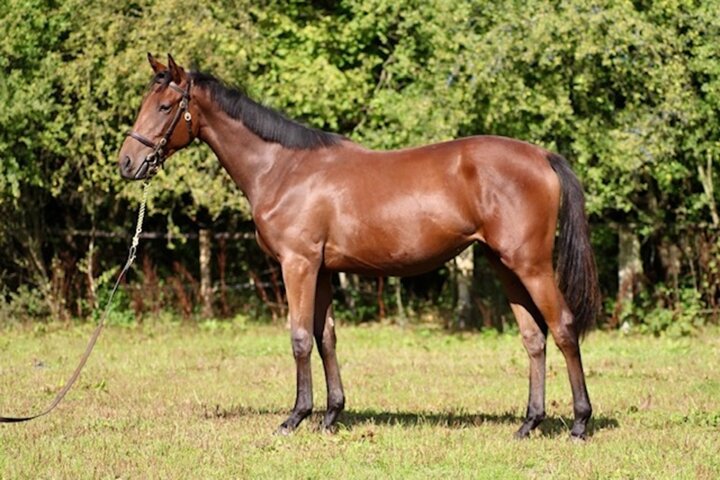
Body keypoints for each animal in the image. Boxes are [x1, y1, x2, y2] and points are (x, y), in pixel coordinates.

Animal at [118, 54, 601, 439]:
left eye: (165, 107)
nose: (127, 163)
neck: (283, 168)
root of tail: (541, 156)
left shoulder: (298, 265)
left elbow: (299, 338)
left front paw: (295, 417)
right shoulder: (323, 270)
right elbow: (326, 337)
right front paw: (331, 415)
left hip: (532, 265)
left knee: (563, 328)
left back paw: (580, 422)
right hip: (505, 265)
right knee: (534, 337)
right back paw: (529, 423)